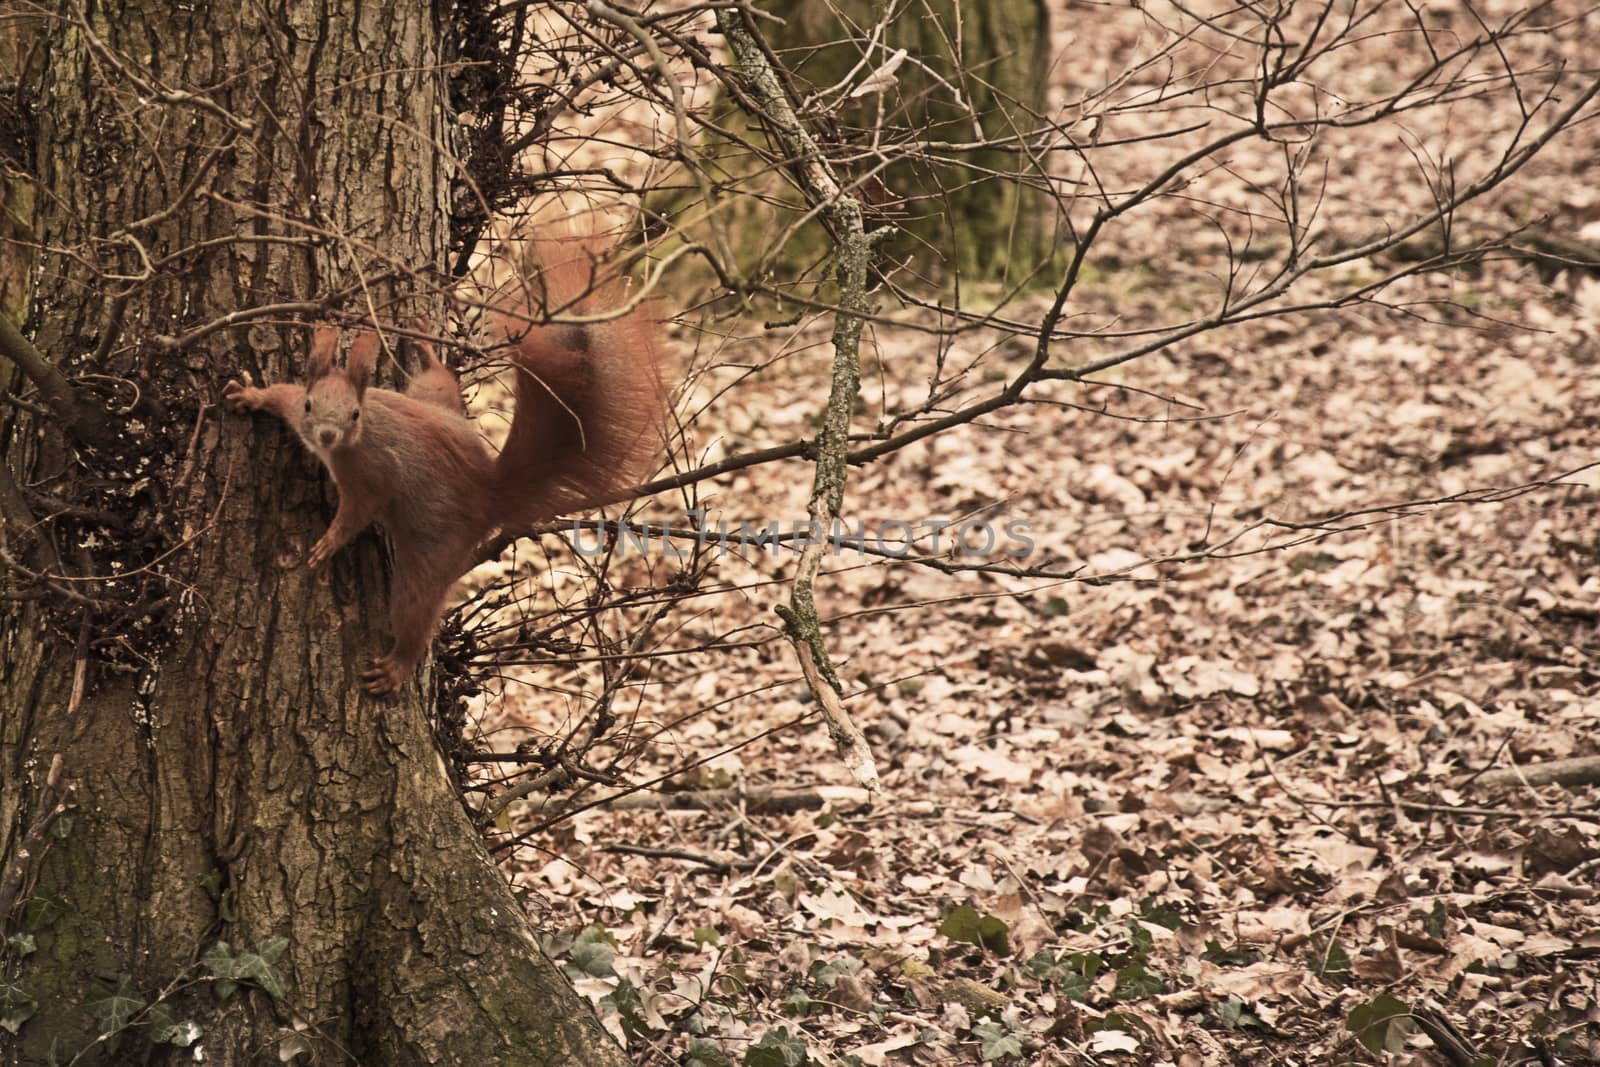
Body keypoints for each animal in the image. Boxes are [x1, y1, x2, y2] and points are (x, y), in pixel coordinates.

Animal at [224, 251, 662, 700]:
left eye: (354, 414)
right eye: (312, 406)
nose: (327, 435)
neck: (349, 441)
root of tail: (488, 493)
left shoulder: (370, 472)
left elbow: (360, 509)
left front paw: (329, 542)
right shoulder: (297, 407)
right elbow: (280, 395)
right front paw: (248, 396)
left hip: (434, 553)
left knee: (416, 611)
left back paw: (398, 666)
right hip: (431, 398)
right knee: (439, 378)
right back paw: (423, 344)